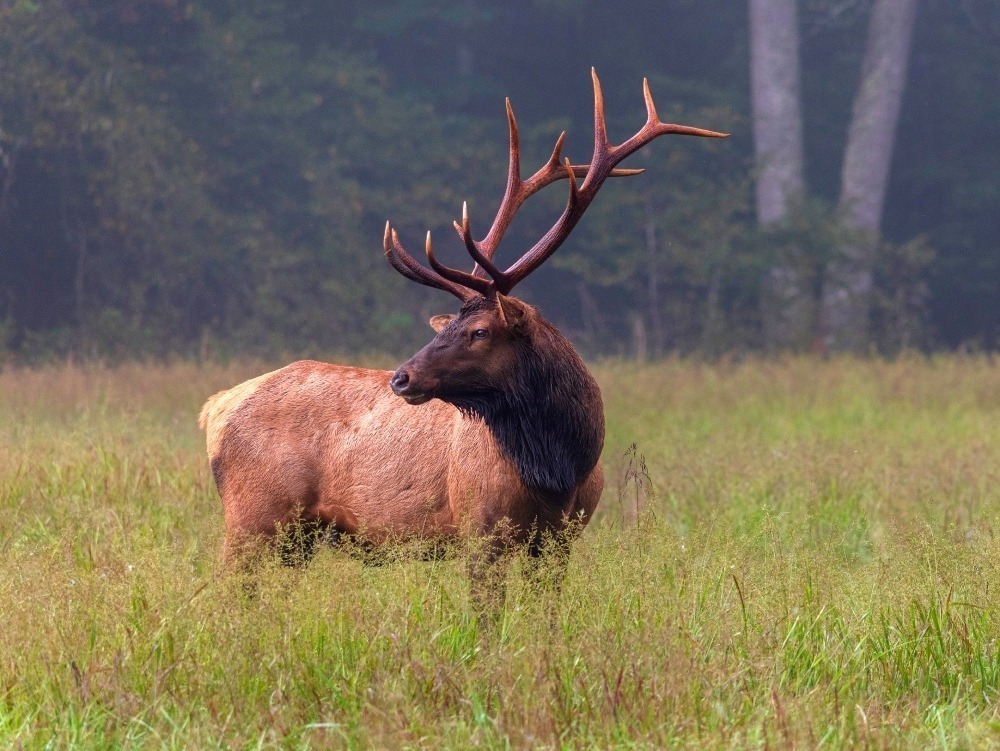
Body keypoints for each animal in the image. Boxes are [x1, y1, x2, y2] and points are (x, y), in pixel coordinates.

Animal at [199, 70, 728, 604]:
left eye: (478, 330)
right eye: (452, 326)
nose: (402, 378)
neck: (559, 470)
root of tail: (216, 408)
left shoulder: (562, 537)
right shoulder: (479, 527)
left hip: (297, 534)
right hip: (252, 514)